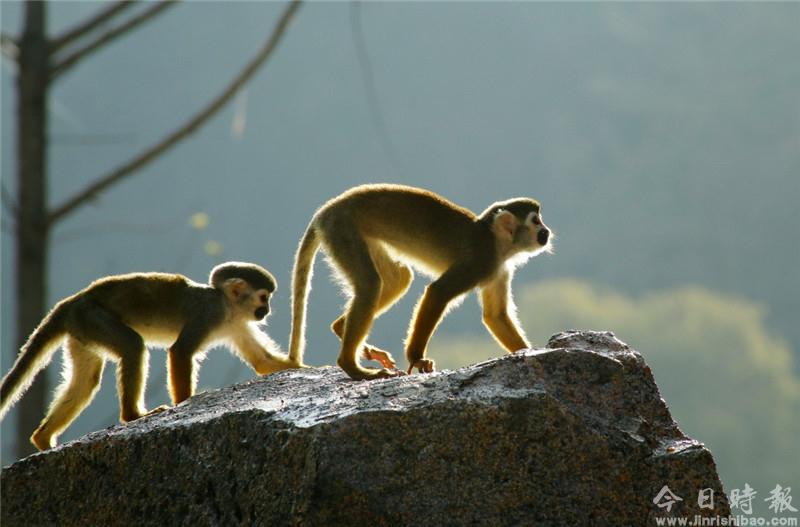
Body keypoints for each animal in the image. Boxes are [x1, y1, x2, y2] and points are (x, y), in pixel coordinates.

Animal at [0, 262, 300, 452]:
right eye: (263, 297)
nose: (266, 310)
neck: (227, 306)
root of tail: (72, 301)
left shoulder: (236, 323)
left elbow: (263, 362)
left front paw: (300, 365)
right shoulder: (208, 314)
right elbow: (180, 351)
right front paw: (184, 403)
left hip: (82, 329)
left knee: (85, 381)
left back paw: (42, 439)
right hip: (93, 317)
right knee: (133, 346)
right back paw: (133, 415)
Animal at [288, 184, 552, 382]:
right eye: (536, 221)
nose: (547, 231)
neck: (496, 243)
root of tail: (327, 209)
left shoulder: (499, 270)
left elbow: (495, 316)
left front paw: (528, 351)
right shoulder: (480, 261)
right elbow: (438, 292)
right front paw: (416, 358)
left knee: (397, 279)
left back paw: (342, 328)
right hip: (342, 229)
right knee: (371, 284)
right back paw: (351, 366)